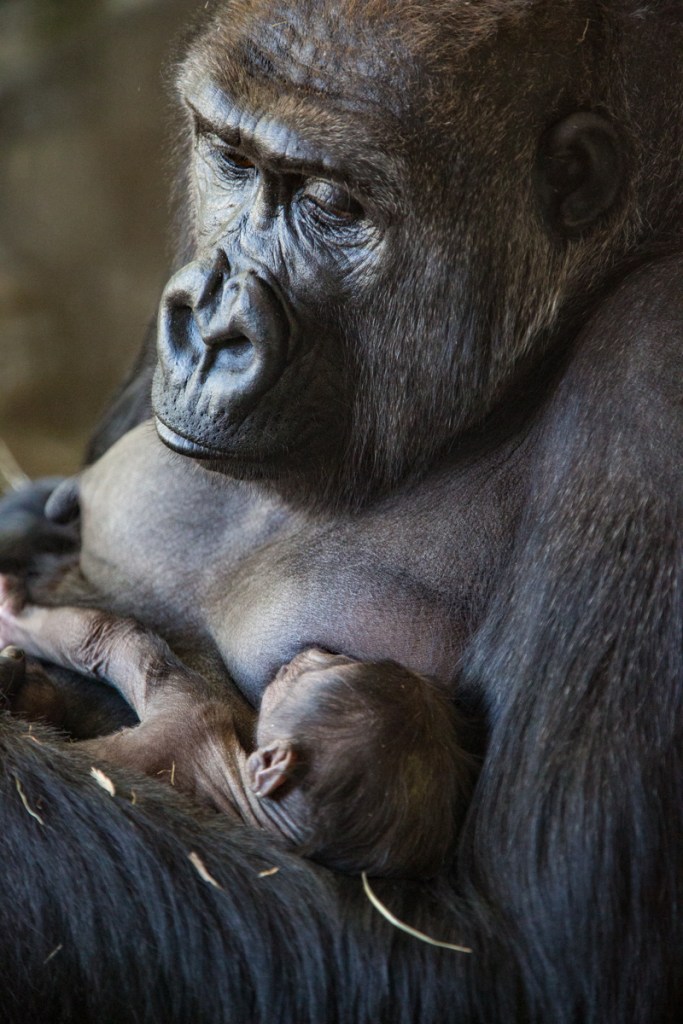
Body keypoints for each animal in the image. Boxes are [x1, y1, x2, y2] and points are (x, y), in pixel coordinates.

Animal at [0, 581, 471, 876]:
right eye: (336, 661)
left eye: (311, 674)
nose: (308, 656)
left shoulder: (192, 708)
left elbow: (113, 640)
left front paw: (12, 612)